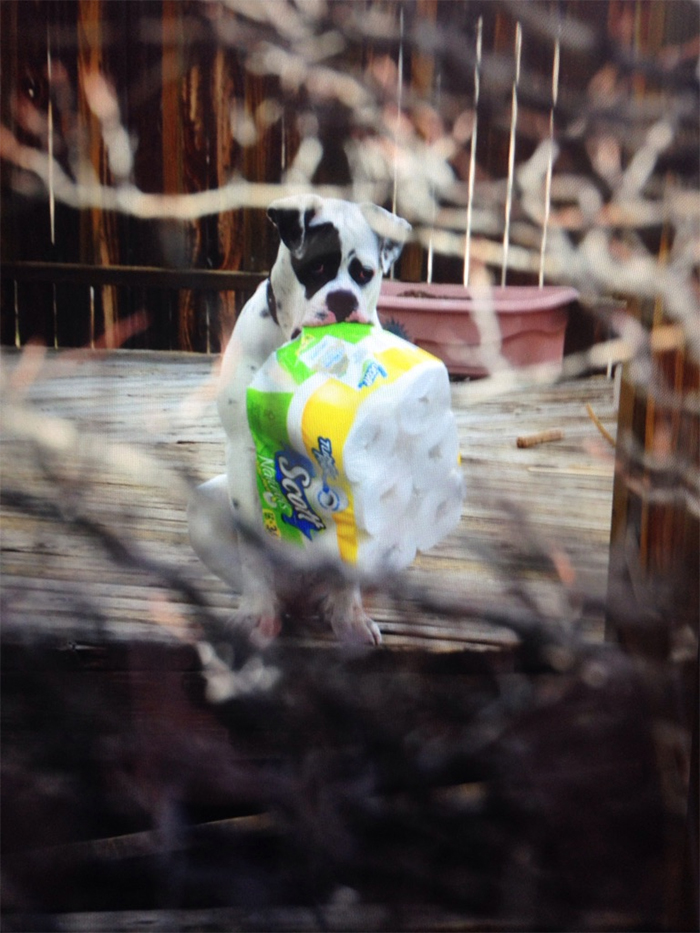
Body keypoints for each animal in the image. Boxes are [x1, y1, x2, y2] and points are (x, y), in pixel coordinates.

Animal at [189, 195, 412, 648]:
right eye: (316, 269)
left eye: (364, 274)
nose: (343, 299)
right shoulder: (243, 450)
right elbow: (253, 552)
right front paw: (256, 616)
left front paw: (350, 616)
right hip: (205, 504)